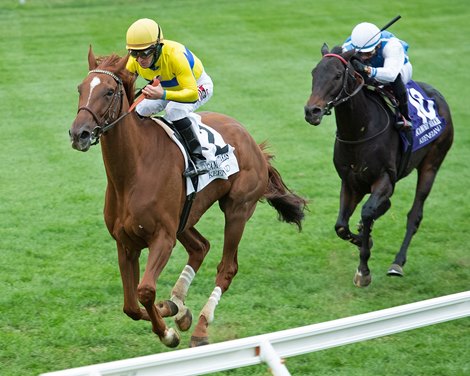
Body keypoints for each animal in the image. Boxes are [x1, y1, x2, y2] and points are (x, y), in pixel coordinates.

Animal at [68, 48, 306, 348]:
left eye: (109, 91)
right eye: (80, 88)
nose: (79, 133)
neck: (132, 173)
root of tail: (251, 141)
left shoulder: (162, 238)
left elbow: (145, 291)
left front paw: (168, 332)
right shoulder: (126, 243)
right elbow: (131, 306)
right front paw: (172, 311)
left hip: (237, 209)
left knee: (227, 268)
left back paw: (201, 327)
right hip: (186, 216)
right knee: (200, 247)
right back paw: (179, 307)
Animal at [302, 45, 454, 288]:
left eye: (337, 75)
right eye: (314, 73)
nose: (311, 111)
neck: (359, 132)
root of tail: (439, 96)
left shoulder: (384, 179)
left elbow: (367, 211)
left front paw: (363, 270)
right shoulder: (350, 183)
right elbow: (341, 226)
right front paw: (365, 237)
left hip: (432, 164)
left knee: (414, 215)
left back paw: (397, 263)